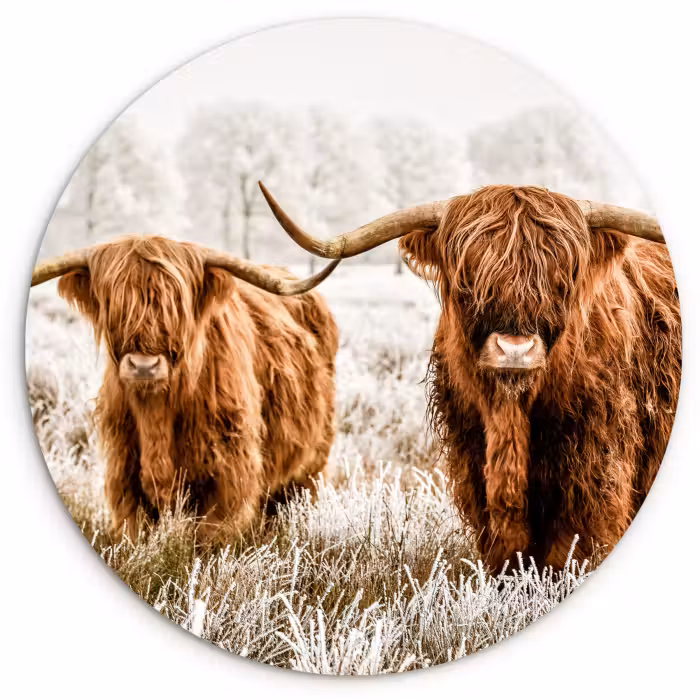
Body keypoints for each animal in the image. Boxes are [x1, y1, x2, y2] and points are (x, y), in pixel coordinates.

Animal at [31, 236, 340, 543]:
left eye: (177, 306)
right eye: (113, 303)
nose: (144, 366)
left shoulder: (227, 475)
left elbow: (210, 537)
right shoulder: (124, 474)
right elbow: (136, 532)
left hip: (311, 465)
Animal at [258, 181, 682, 571]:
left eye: (562, 279)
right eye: (468, 280)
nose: (515, 349)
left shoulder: (594, 477)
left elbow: (570, 553)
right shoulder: (473, 463)